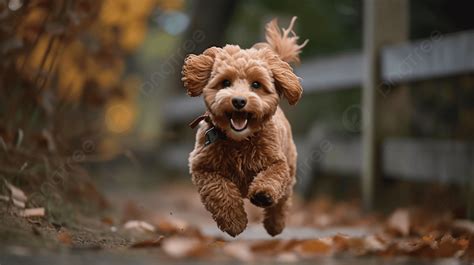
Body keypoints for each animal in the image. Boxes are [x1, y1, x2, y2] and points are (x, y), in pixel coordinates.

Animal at [181, 17, 308, 235]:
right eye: (225, 82)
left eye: (256, 84)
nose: (239, 101)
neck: (238, 141)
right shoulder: (202, 168)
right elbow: (220, 192)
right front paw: (235, 222)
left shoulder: (277, 162)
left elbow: (272, 177)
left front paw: (263, 194)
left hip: (290, 166)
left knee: (283, 200)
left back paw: (275, 225)